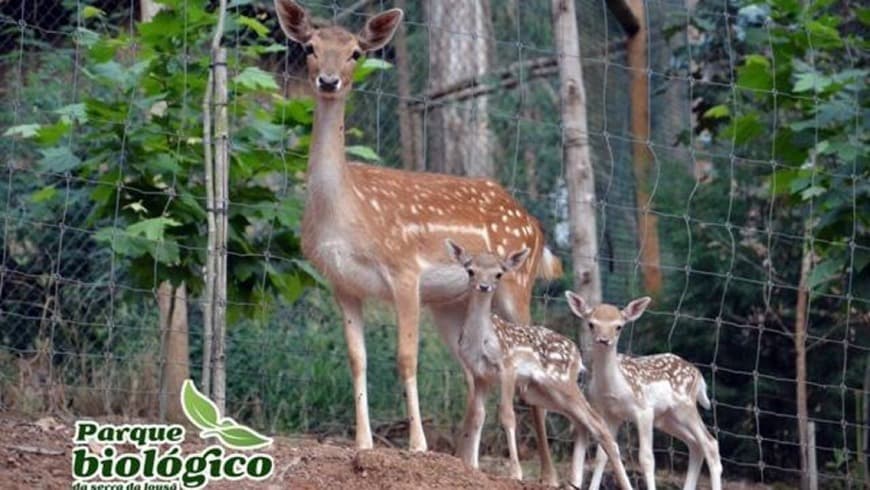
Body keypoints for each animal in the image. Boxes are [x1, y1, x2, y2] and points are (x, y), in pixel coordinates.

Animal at [274, 0, 564, 460]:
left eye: (356, 52)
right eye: (310, 47)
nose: (329, 81)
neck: (346, 214)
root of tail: (535, 225)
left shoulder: (404, 270)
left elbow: (406, 357)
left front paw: (418, 444)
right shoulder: (343, 284)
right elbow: (358, 358)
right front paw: (363, 442)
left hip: (517, 284)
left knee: (526, 367)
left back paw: (545, 470)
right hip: (452, 303)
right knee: (474, 375)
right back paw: (467, 460)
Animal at [446, 241, 632, 490]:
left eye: (499, 273)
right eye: (470, 270)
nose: (484, 286)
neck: (480, 341)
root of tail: (577, 355)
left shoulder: (507, 367)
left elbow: (507, 415)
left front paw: (516, 473)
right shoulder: (480, 375)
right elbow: (478, 416)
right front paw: (473, 467)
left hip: (562, 382)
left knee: (598, 424)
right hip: (541, 392)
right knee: (583, 424)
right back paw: (574, 482)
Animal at [564, 292, 724, 490]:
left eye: (619, 326)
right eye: (591, 324)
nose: (604, 340)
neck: (612, 389)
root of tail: (699, 375)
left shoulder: (644, 410)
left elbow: (647, 459)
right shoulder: (610, 414)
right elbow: (602, 455)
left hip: (685, 406)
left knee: (710, 443)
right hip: (667, 418)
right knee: (695, 444)